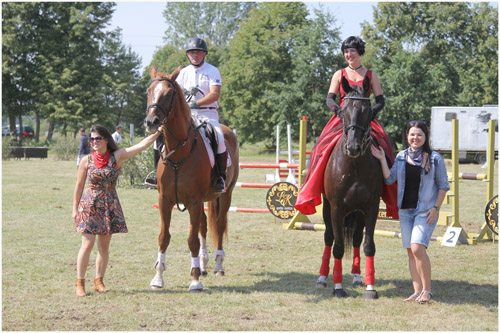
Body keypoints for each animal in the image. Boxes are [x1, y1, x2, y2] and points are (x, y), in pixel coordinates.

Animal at [144, 65, 239, 290]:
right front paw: (158, 277)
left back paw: (217, 266)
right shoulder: (165, 201)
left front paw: (195, 279)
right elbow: (164, 237)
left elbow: (192, 240)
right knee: (204, 225)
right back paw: (203, 265)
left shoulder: (194, 202)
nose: (151, 122)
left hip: (225, 194)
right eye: (148, 91)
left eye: (169, 93)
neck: (179, 153)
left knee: (219, 225)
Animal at [320, 75, 382, 298]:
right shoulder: (336, 208)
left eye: (366, 110)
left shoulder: (371, 208)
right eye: (344, 110)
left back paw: (356, 276)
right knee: (328, 238)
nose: (353, 147)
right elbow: (337, 246)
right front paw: (338, 287)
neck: (354, 166)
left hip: (358, 212)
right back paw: (322, 278)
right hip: (327, 208)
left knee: (356, 239)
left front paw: (370, 288)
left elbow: (369, 245)